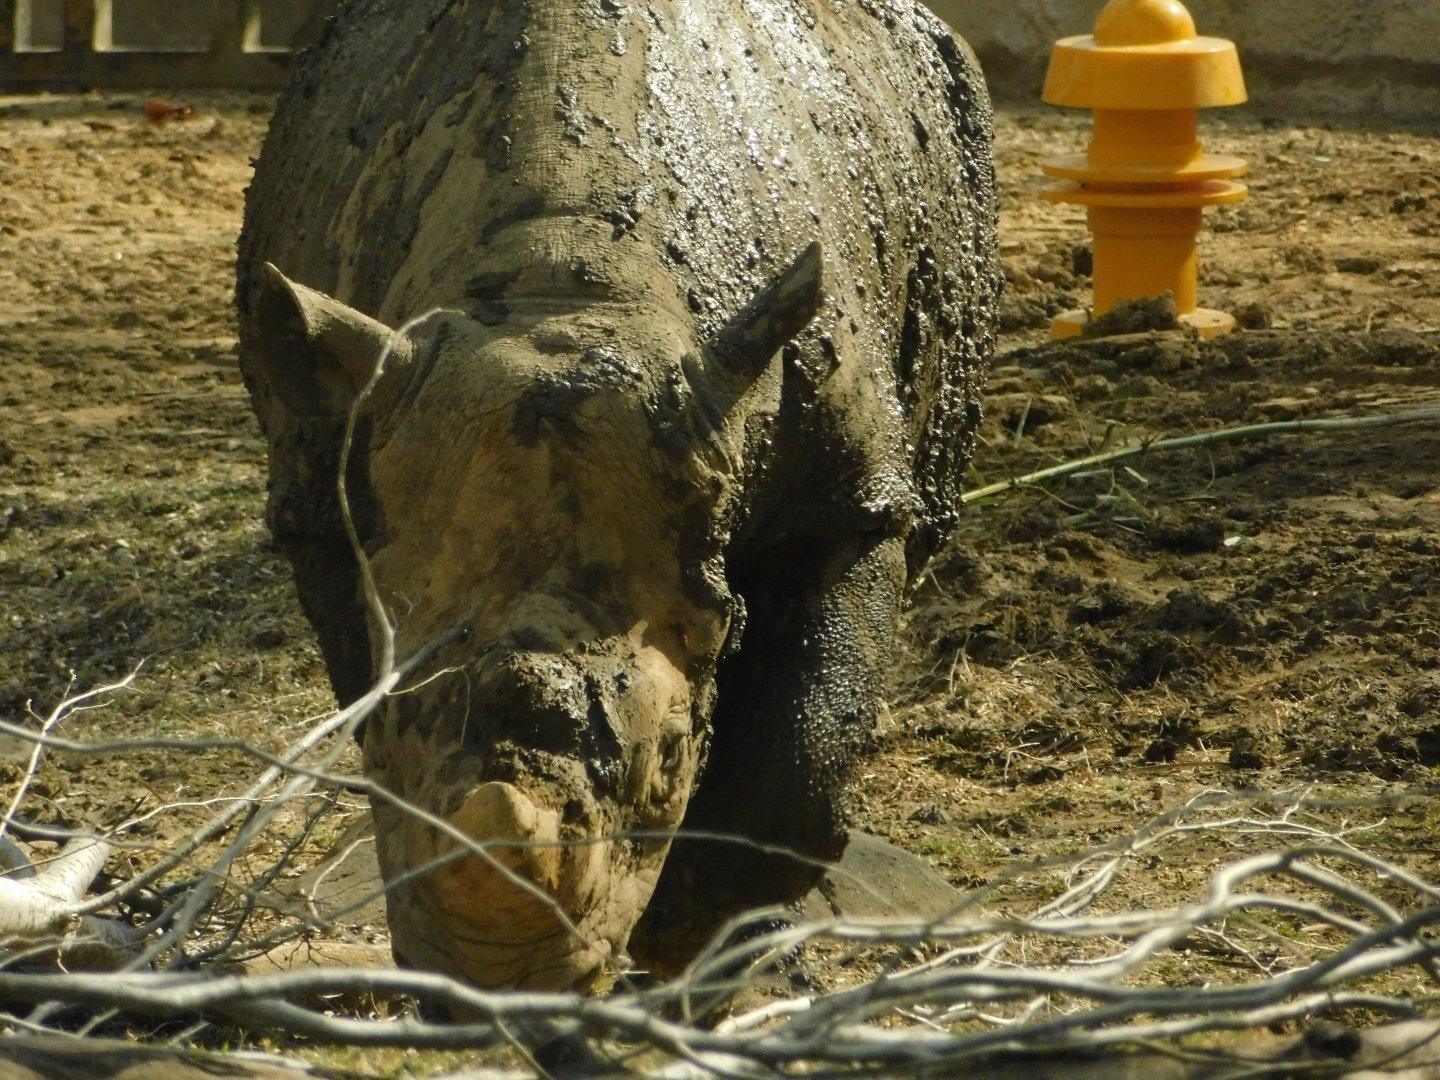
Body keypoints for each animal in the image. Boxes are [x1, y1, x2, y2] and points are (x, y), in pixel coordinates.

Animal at [236, 0, 999, 991]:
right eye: (392, 741)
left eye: (670, 753)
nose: (501, 978)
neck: (564, 285)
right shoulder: (322, 501)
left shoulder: (845, 494)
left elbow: (806, 746)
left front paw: (687, 934)